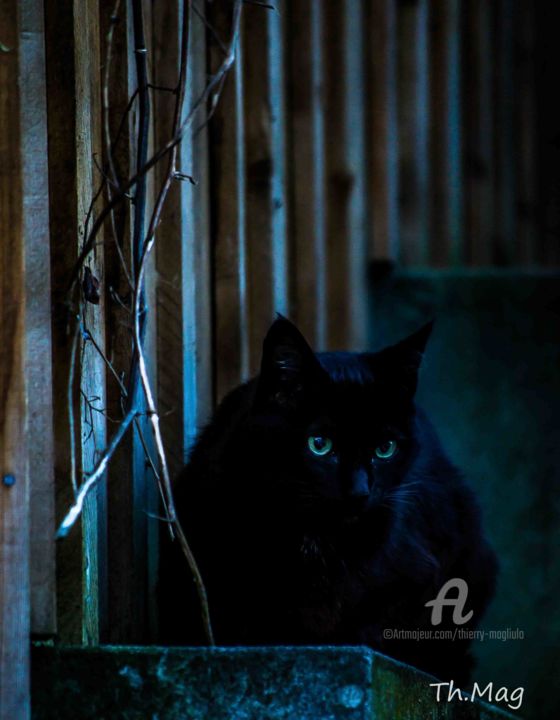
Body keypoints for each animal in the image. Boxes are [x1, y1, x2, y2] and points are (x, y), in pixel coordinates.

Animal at [160, 318, 496, 684]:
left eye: (385, 448)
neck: (314, 536)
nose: (360, 491)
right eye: (319, 444)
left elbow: (373, 622)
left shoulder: (423, 574)